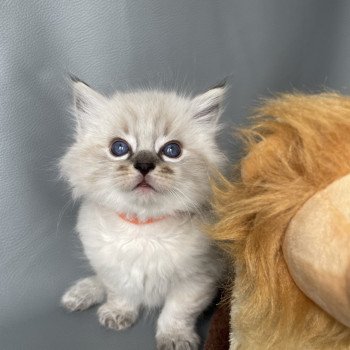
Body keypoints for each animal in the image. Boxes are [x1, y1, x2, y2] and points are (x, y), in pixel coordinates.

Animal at [60, 77, 227, 350]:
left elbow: (177, 311)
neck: (143, 227)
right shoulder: (113, 269)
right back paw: (79, 294)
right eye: (119, 148)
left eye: (172, 150)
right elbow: (120, 293)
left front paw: (174, 338)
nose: (144, 164)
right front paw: (119, 314)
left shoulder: (198, 279)